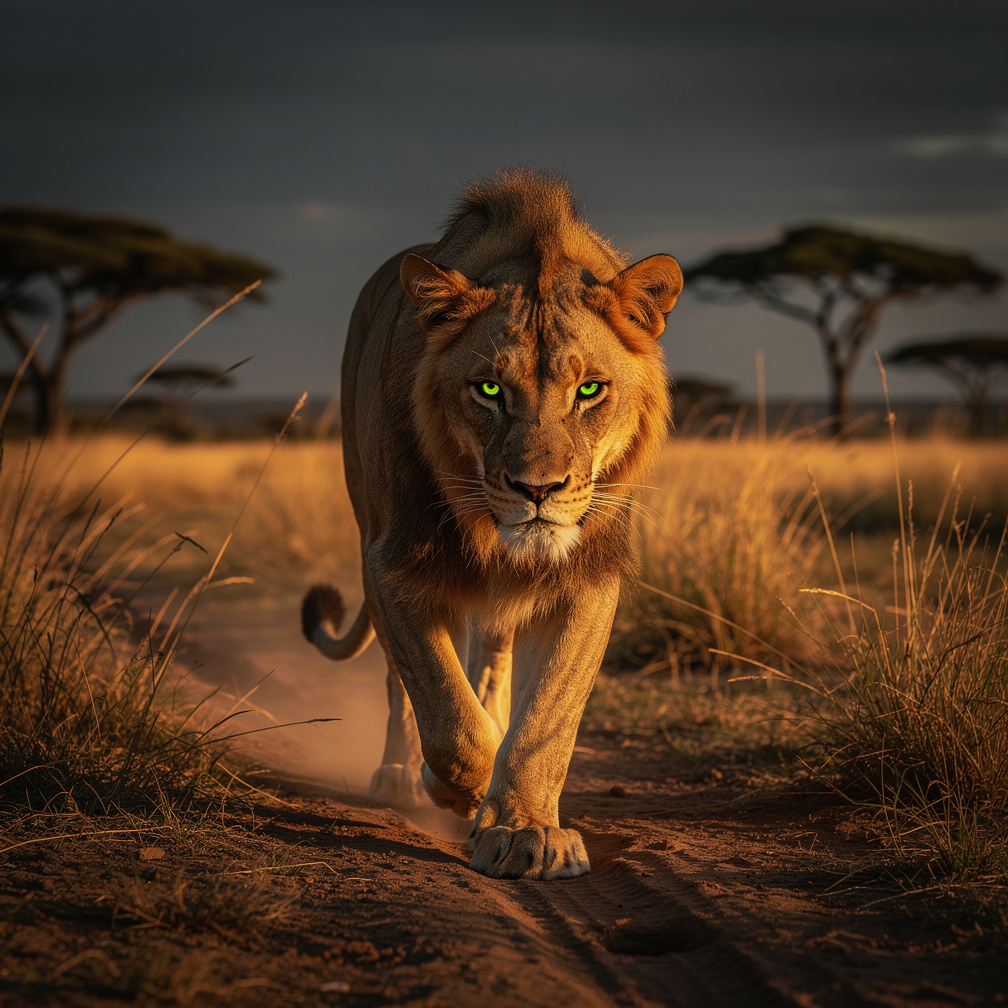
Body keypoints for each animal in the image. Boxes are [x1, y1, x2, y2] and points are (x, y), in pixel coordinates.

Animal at [302, 169, 681, 879]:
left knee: (494, 654)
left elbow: (545, 722)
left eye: (590, 390)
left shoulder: (586, 579)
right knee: (401, 684)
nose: (538, 490)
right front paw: (464, 789)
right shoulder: (394, 565)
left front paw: (525, 828)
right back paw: (401, 774)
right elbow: (447, 714)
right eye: (488, 390)